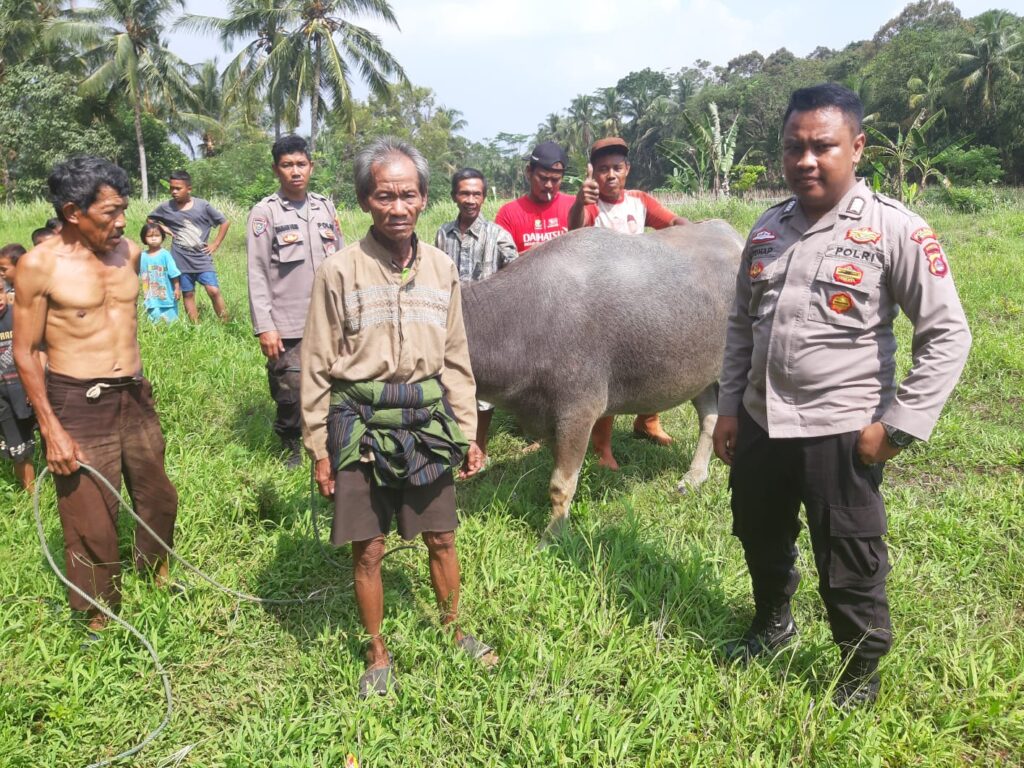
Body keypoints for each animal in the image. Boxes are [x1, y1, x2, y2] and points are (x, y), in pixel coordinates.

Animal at [464, 218, 745, 540]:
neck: (517, 322)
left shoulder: (578, 410)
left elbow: (561, 484)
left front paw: (552, 536)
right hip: (699, 372)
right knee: (710, 419)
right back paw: (693, 477)